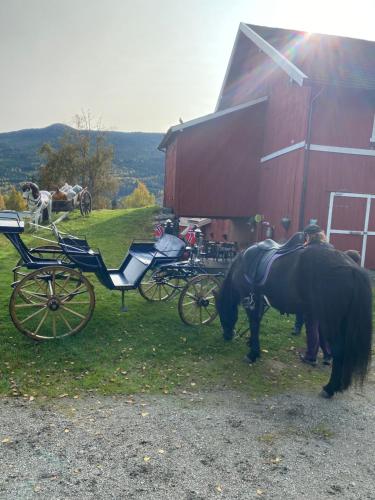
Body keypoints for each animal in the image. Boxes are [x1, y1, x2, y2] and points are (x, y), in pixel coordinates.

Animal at [216, 241, 374, 398]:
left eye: (221, 312)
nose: (227, 336)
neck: (242, 263)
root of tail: (352, 267)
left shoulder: (249, 300)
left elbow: (254, 324)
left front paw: (252, 353)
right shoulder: (260, 302)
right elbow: (257, 323)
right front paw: (252, 345)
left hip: (331, 323)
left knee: (339, 351)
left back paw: (329, 388)